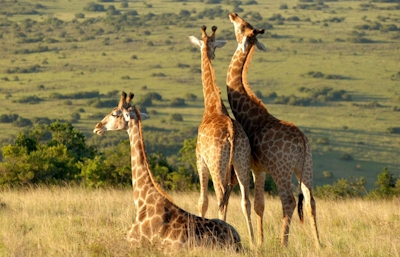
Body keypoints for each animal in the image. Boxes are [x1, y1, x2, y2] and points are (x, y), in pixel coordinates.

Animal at [189, 24, 255, 242]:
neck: (212, 106)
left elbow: (202, 201)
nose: (212, 54)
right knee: (245, 201)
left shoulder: (200, 159)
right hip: (242, 161)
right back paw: (254, 241)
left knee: (220, 197)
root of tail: (232, 134)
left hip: (217, 163)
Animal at [227, 12, 320, 246]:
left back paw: (283, 244)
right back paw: (319, 243)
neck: (249, 113)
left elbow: (258, 204)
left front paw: (259, 243)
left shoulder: (256, 167)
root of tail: (302, 141)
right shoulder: (260, 169)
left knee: (288, 201)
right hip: (306, 166)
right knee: (311, 201)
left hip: (282, 169)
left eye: (241, 26)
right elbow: (260, 205)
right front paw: (261, 241)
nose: (232, 14)